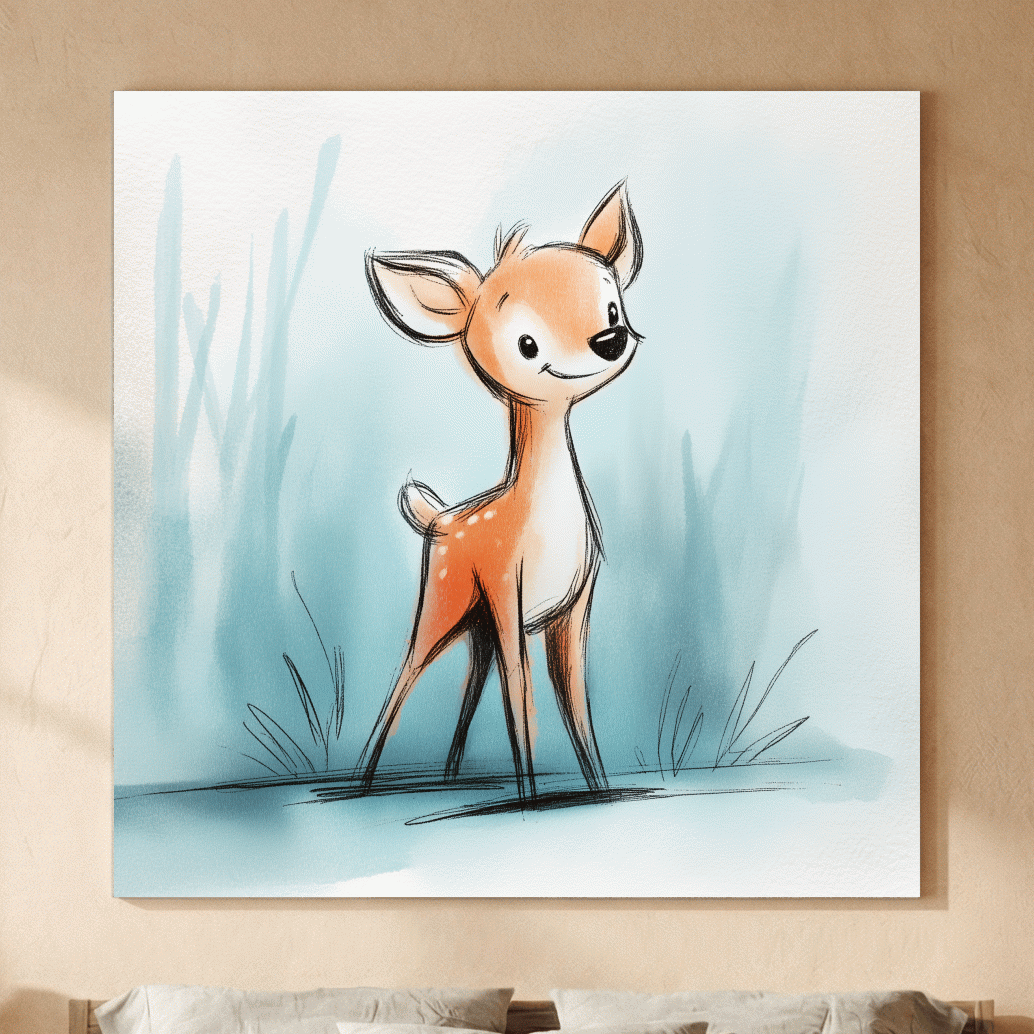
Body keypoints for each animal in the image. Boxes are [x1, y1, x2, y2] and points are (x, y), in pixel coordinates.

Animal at [358, 182, 643, 802]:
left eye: (613, 307)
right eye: (526, 343)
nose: (610, 339)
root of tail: (436, 517)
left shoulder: (574, 606)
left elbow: (577, 710)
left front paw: (598, 793)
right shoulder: (509, 591)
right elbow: (523, 706)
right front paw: (533, 801)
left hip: (477, 625)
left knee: (468, 692)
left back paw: (446, 778)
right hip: (444, 603)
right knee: (402, 681)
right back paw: (360, 782)